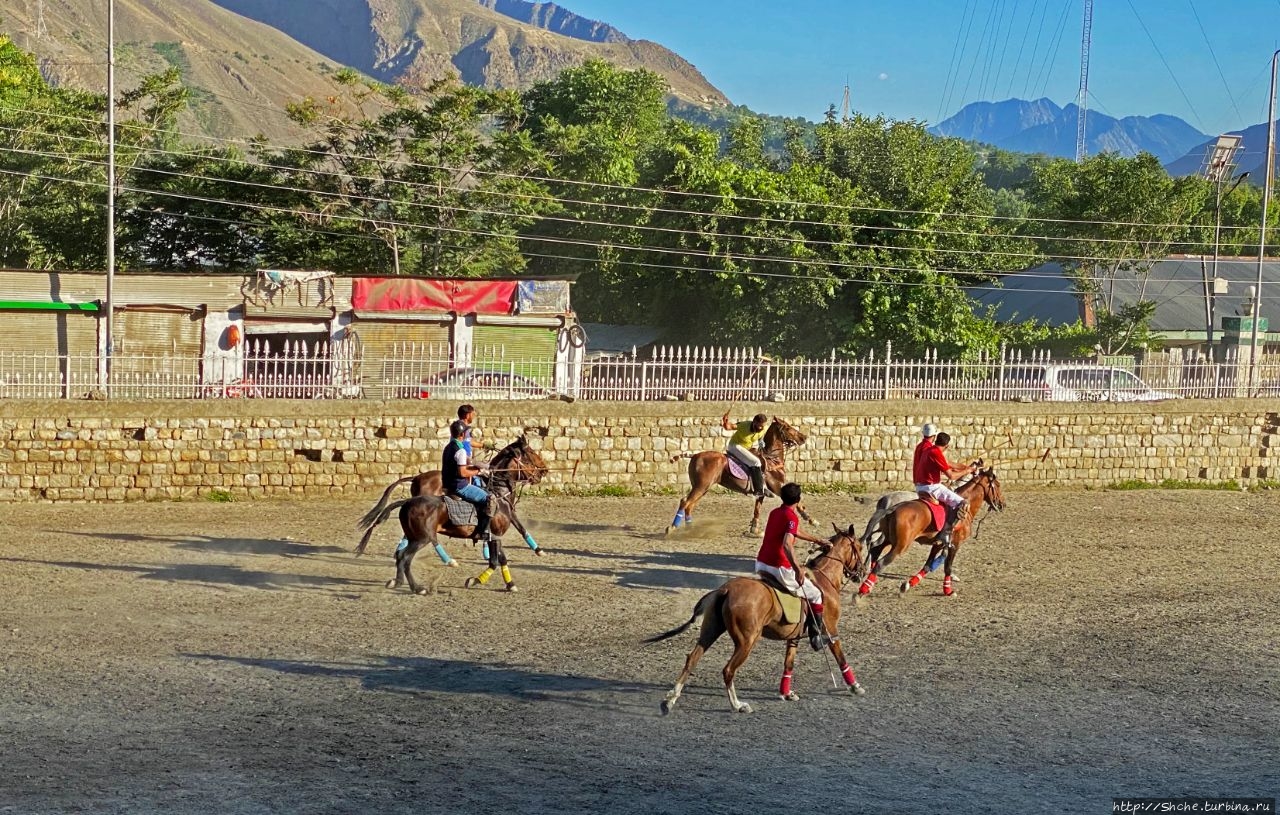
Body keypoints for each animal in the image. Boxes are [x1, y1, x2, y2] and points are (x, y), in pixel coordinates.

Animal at [355, 432, 550, 565]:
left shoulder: (509, 512)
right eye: (531, 454)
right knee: (426, 537)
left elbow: (521, 528)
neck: (496, 486)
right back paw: (444, 560)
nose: (544, 470)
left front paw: (538, 550)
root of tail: (417, 477)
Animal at [645, 527, 865, 711]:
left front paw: (786, 693)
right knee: (728, 670)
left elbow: (789, 664)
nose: (860, 573)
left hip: (711, 631)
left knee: (692, 659)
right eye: (860, 547)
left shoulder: (793, 637)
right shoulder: (830, 630)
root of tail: (724, 590)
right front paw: (855, 686)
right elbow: (840, 657)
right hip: (747, 641)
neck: (824, 578)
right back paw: (738, 705)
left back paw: (670, 700)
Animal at [670, 417, 808, 537]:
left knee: (689, 506)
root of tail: (694, 455)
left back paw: (690, 529)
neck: (772, 459)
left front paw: (754, 530)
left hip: (703, 488)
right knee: (685, 502)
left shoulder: (762, 491)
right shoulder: (776, 486)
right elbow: (797, 501)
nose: (804, 437)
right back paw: (672, 528)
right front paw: (808, 517)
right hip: (701, 486)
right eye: (788, 427)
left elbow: (757, 510)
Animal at [855, 463, 1003, 598]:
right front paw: (948, 590)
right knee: (880, 558)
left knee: (875, 548)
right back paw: (863, 588)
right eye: (998, 485)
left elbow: (928, 565)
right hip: (900, 545)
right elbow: (947, 567)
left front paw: (907, 585)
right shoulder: (955, 544)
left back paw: (867, 578)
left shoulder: (938, 543)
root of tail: (891, 507)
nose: (1002, 504)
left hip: (889, 538)